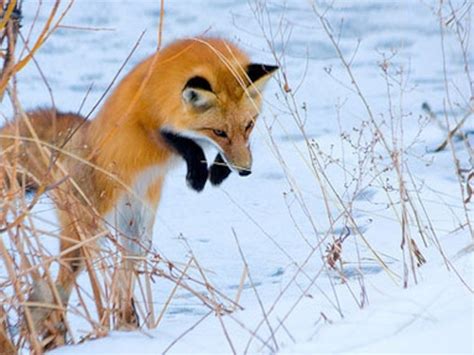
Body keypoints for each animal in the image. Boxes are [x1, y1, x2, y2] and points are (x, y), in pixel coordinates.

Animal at [0, 37, 276, 350]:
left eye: (249, 125)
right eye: (218, 131)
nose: (245, 172)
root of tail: (81, 135)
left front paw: (218, 170)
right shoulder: (146, 121)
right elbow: (181, 141)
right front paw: (198, 174)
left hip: (137, 233)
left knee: (125, 274)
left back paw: (126, 324)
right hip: (85, 234)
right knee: (63, 280)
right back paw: (52, 329)